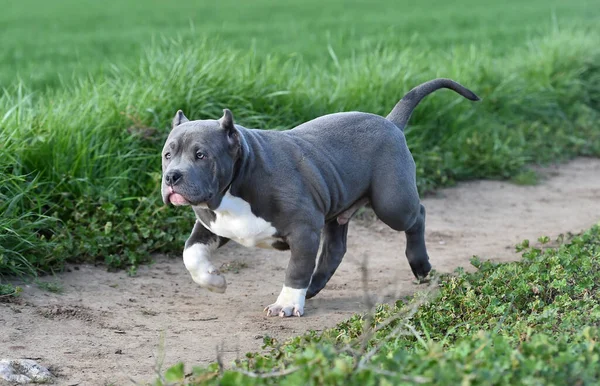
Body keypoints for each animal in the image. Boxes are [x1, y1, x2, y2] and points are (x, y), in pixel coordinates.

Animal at [161, 77, 478, 316]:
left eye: (201, 155)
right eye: (167, 155)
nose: (171, 177)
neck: (237, 180)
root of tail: (390, 123)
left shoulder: (303, 230)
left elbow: (297, 267)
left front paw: (287, 304)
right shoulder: (211, 225)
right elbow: (190, 253)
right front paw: (213, 280)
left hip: (392, 203)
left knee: (417, 216)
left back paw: (420, 265)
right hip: (338, 210)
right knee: (335, 249)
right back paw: (313, 288)